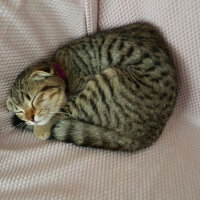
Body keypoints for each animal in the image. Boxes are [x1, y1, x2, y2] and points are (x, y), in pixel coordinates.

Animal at [5, 21, 177, 151]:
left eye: (34, 99)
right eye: (19, 111)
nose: (30, 119)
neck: (63, 67)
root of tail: (150, 135)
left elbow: (60, 109)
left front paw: (40, 129)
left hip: (104, 85)